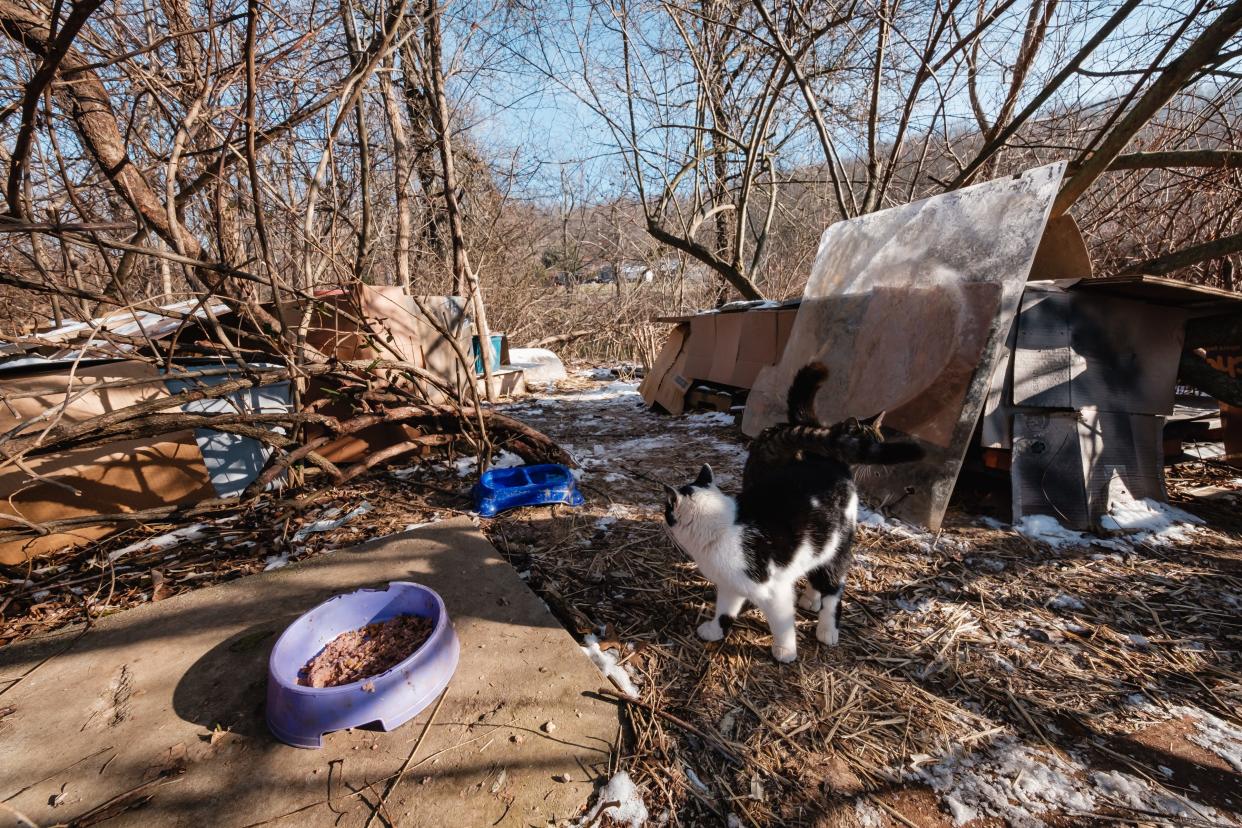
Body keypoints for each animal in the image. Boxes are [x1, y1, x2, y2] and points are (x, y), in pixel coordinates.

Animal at [660, 364, 924, 665]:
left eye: (667, 510)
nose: (663, 515)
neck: (724, 526)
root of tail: (830, 462)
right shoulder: (731, 584)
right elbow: (725, 610)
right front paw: (715, 630)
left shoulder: (773, 590)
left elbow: (782, 622)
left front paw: (785, 651)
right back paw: (812, 598)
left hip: (837, 548)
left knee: (834, 589)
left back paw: (827, 628)